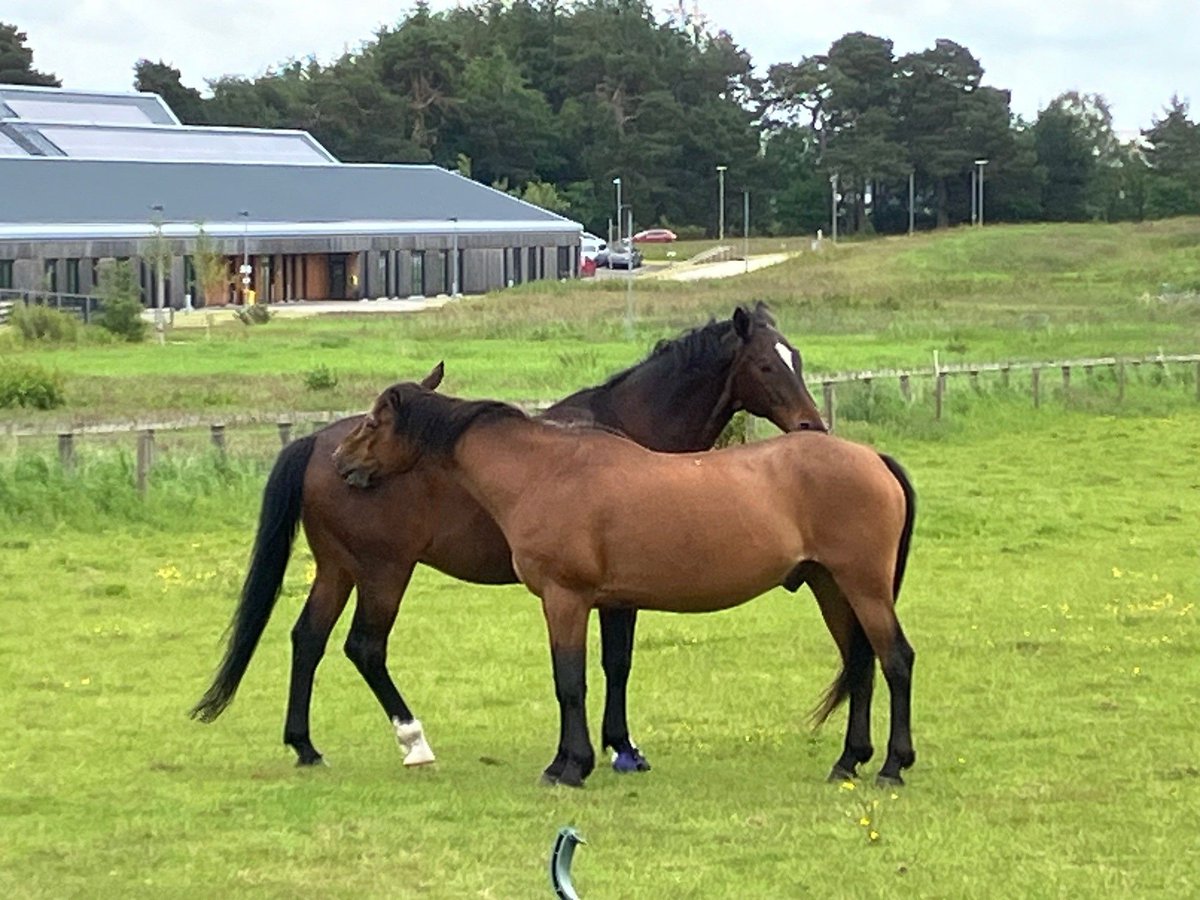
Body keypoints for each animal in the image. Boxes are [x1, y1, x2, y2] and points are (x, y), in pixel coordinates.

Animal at [191, 302, 828, 771]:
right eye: (767, 367)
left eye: (795, 358)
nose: (812, 428)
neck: (626, 428)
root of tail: (320, 446)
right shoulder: (611, 593)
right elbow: (613, 663)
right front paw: (619, 748)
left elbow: (613, 663)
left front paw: (616, 746)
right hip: (383, 572)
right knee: (364, 647)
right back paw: (413, 740)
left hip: (338, 569)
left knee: (308, 640)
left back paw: (305, 746)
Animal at [332, 375, 917, 788]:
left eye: (374, 423)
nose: (340, 461)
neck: (543, 471)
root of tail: (873, 458)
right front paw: (572, 761)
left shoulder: (565, 600)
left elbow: (569, 682)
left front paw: (570, 767)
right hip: (831, 588)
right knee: (860, 664)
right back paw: (848, 761)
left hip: (862, 587)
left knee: (895, 661)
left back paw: (893, 766)